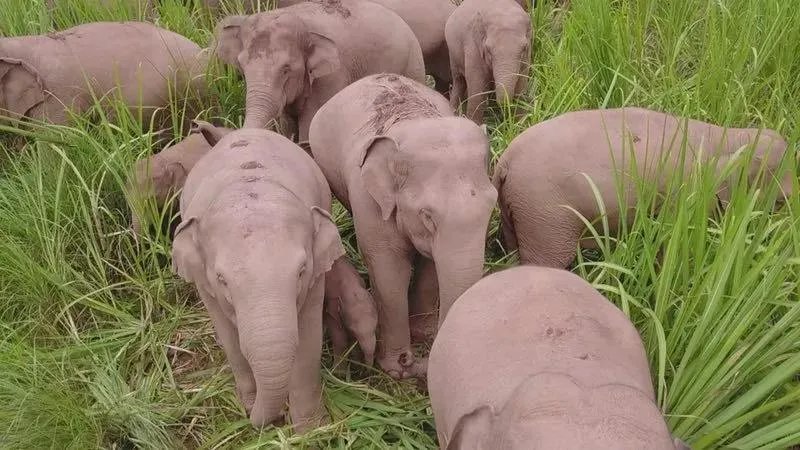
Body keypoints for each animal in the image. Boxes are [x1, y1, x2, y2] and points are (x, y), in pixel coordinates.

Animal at [171, 126, 346, 431]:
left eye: (301, 271)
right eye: (222, 279)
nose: (272, 420)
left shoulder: (315, 279)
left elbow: (308, 339)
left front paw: (311, 429)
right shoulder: (205, 284)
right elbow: (231, 340)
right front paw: (250, 406)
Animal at [212, 0, 426, 142]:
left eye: (286, 69)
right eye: (241, 66)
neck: (303, 22)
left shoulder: (332, 77)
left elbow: (310, 124)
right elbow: (288, 125)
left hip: (413, 63)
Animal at [309, 73, 497, 379]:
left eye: (492, 206)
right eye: (427, 216)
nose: (412, 360)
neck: (414, 123)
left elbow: (431, 265)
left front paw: (423, 334)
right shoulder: (369, 202)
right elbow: (389, 268)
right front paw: (395, 368)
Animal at [492, 107, 795, 268]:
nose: (789, 200)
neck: (730, 136)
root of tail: (504, 162)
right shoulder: (686, 193)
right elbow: (672, 239)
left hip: (520, 209)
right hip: (545, 214)